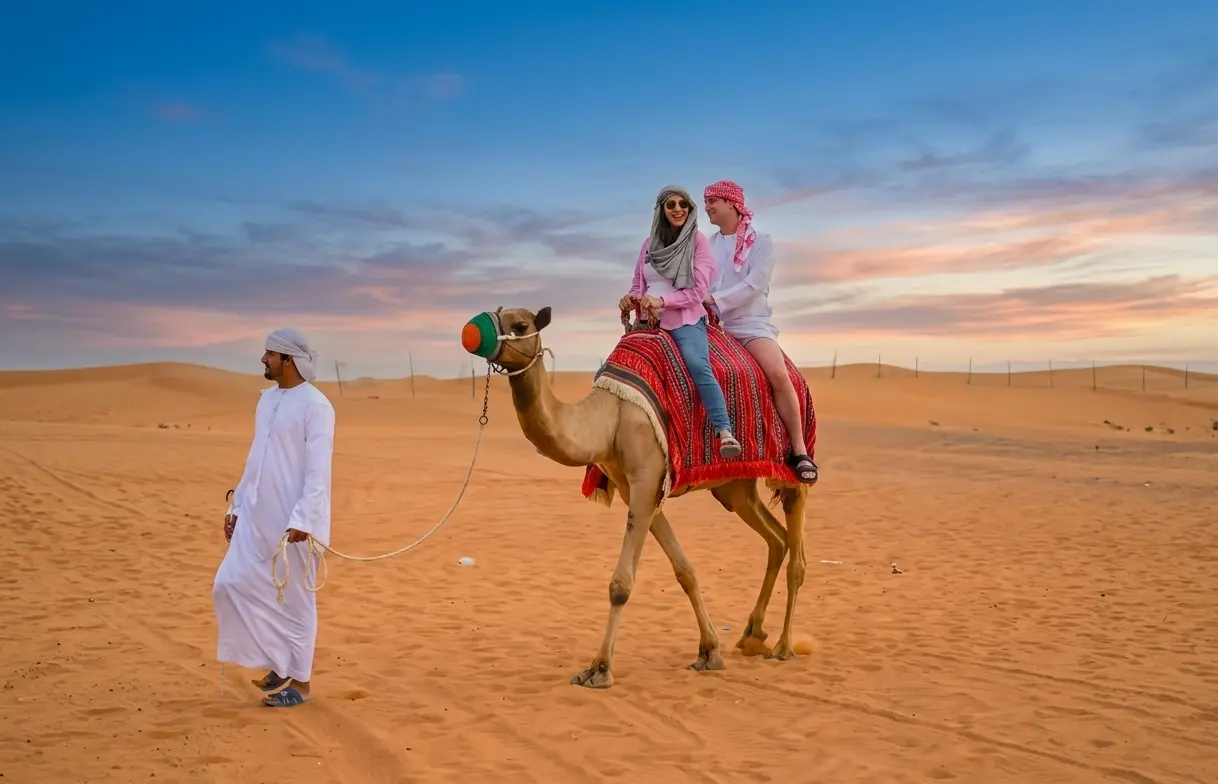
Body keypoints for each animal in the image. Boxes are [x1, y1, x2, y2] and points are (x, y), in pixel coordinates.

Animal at [462, 305, 810, 689]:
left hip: (791, 466)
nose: (471, 332)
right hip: (734, 487)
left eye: (521, 325)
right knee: (777, 539)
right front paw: (710, 652)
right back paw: (752, 635)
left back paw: (783, 646)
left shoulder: (645, 478)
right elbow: (685, 571)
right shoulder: (636, 487)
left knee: (796, 551)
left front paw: (599, 669)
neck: (610, 418)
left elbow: (620, 585)